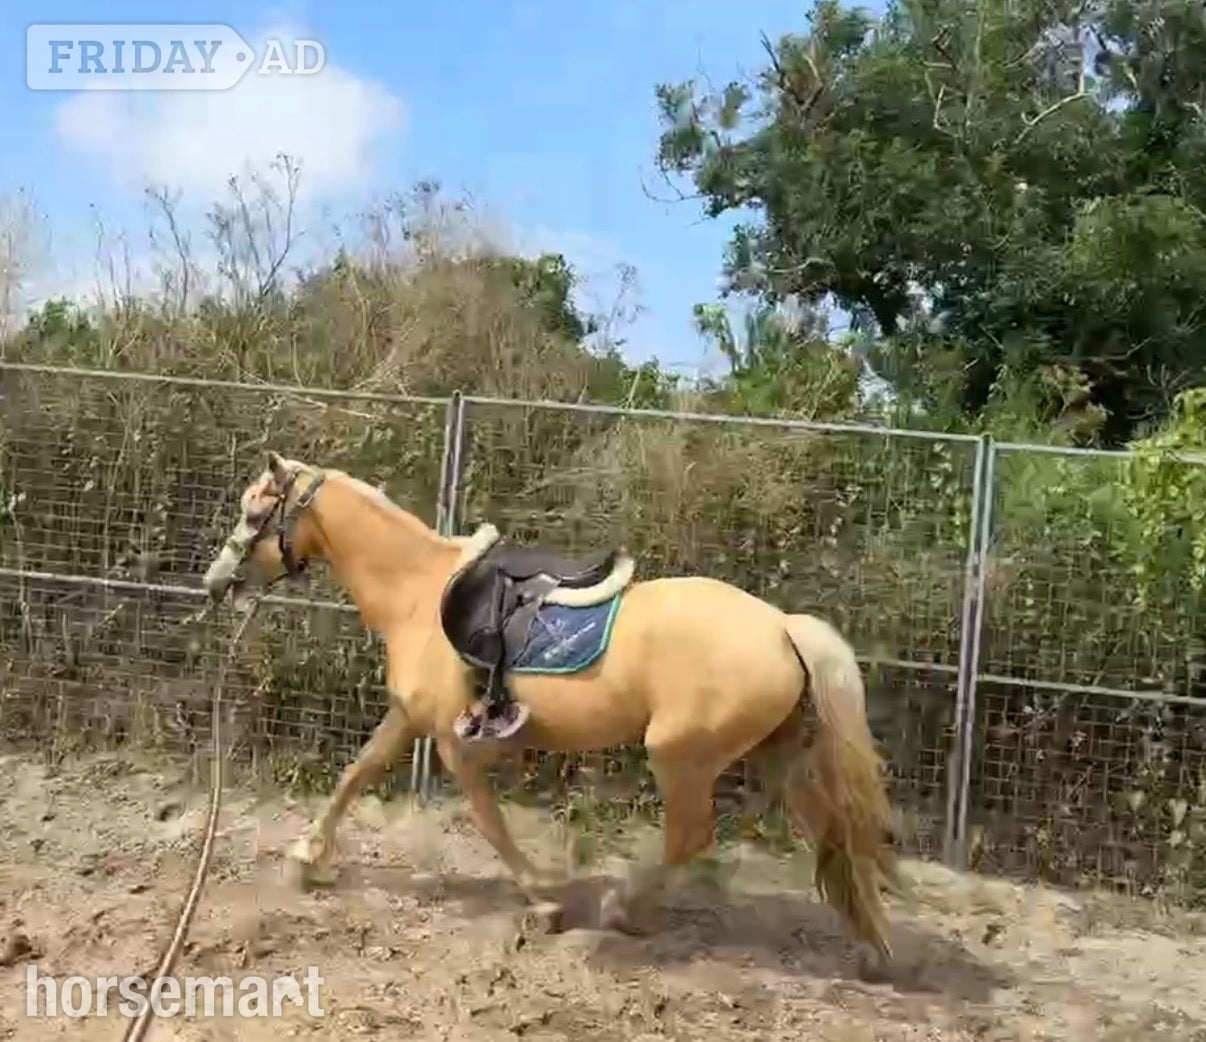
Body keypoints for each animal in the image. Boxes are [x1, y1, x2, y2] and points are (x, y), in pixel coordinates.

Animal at [201, 450, 900, 963]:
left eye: (255, 511)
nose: (216, 583)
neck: (418, 592)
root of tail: (782, 627)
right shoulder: (409, 720)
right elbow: (358, 772)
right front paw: (306, 858)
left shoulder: (455, 741)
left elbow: (488, 820)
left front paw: (543, 898)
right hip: (780, 756)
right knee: (829, 832)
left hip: (680, 754)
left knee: (691, 834)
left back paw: (624, 908)